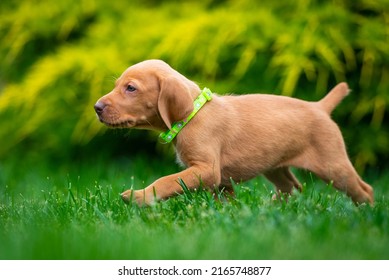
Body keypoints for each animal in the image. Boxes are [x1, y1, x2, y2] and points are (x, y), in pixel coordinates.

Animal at [94, 59, 372, 206]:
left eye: (131, 88)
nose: (96, 107)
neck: (194, 114)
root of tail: (320, 106)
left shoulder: (206, 170)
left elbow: (167, 181)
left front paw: (139, 197)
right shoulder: (220, 180)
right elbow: (224, 201)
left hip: (333, 165)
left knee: (363, 189)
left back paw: (366, 213)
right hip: (274, 165)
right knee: (292, 187)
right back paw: (270, 208)